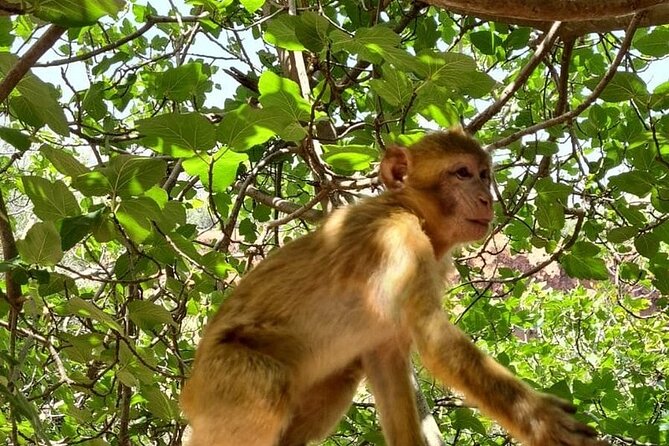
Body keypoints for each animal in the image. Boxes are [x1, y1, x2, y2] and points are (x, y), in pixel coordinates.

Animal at [180, 129, 608, 446]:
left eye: (484, 174)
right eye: (462, 173)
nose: (486, 199)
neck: (411, 209)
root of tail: (190, 391)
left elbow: (386, 357)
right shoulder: (400, 241)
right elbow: (437, 343)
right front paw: (543, 422)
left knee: (343, 370)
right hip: (223, 377)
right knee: (266, 386)